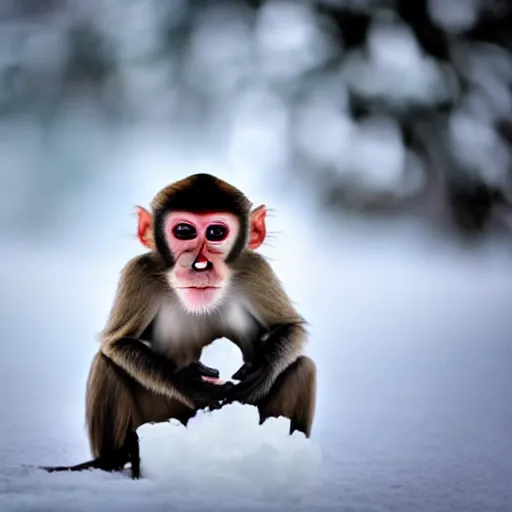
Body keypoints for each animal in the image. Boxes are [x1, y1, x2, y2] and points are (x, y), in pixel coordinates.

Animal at [41, 174, 316, 478]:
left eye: (216, 232)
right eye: (184, 231)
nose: (200, 264)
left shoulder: (256, 269)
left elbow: (290, 328)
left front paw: (257, 373)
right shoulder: (138, 272)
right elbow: (117, 343)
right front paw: (193, 383)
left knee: (302, 366)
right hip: (161, 412)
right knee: (106, 363)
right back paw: (111, 460)